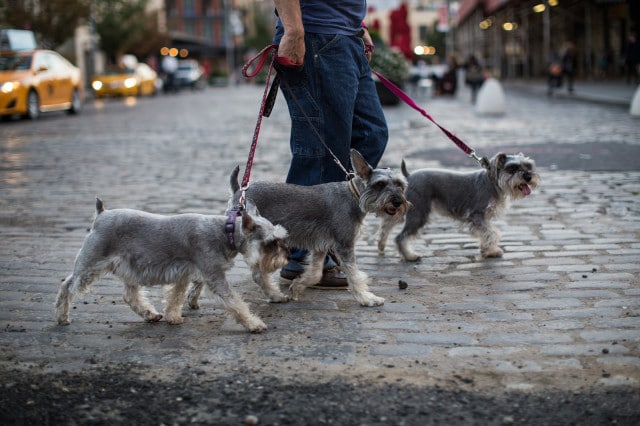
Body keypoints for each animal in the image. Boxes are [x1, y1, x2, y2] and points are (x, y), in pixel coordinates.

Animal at [55, 197, 290, 332]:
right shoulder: (214, 276)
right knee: (67, 286)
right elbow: (234, 302)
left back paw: (150, 314)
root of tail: (101, 214)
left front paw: (172, 317)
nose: (286, 257)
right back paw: (62, 317)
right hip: (90, 264)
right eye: (271, 242)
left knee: (130, 295)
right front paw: (254, 324)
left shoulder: (183, 274)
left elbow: (176, 297)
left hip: (130, 268)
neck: (226, 233)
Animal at [188, 149, 412, 306]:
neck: (353, 195)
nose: (398, 202)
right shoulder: (345, 245)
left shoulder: (321, 246)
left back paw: (193, 299)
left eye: (401, 185)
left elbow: (316, 273)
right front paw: (367, 298)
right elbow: (354, 275)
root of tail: (239, 191)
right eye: (380, 185)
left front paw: (297, 287)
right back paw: (274, 295)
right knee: (256, 274)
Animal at [380, 152, 540, 260]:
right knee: (400, 237)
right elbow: (492, 232)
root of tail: (409, 176)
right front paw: (491, 251)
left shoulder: (484, 218)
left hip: (403, 210)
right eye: (512, 168)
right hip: (418, 214)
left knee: (386, 226)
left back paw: (381, 245)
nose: (528, 176)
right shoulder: (476, 215)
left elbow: (487, 232)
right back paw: (409, 256)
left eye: (528, 166)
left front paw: (488, 250)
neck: (493, 182)